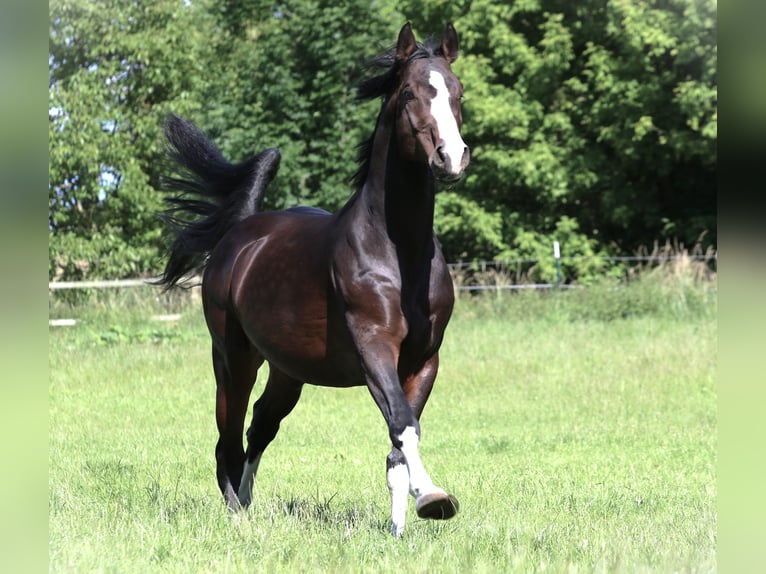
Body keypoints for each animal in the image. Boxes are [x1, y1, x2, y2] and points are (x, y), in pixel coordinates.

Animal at [158, 21, 468, 536]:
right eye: (409, 93)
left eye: (457, 91)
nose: (452, 158)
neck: (399, 253)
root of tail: (242, 232)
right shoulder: (373, 350)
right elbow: (403, 425)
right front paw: (435, 499)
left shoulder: (424, 360)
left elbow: (399, 446)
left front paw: (399, 530)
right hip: (233, 359)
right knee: (228, 438)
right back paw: (237, 516)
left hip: (288, 370)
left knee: (260, 426)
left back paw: (247, 503)